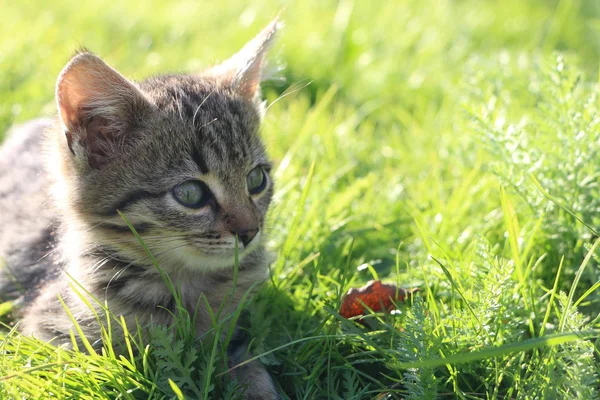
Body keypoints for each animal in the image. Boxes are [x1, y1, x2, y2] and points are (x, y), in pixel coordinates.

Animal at [0, 17, 282, 398]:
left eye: (256, 179)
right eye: (190, 194)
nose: (250, 232)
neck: (184, 284)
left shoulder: (233, 332)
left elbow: (249, 367)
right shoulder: (47, 335)